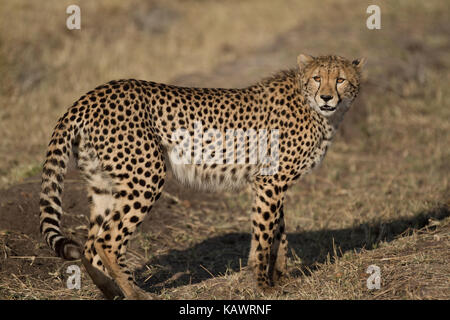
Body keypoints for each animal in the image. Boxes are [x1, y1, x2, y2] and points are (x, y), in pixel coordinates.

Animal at [39, 53, 366, 298]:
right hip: (146, 176)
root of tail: (90, 95)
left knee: (90, 245)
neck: (316, 110)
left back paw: (112, 292)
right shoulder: (269, 182)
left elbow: (278, 232)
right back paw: (135, 294)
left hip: (106, 184)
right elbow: (264, 234)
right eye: (317, 78)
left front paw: (280, 277)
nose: (327, 97)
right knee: (106, 241)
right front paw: (263, 285)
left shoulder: (271, 184)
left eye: (340, 79)